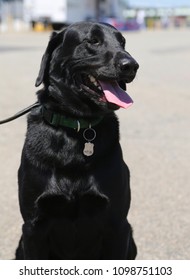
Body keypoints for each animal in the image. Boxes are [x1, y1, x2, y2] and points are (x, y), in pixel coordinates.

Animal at [15, 21, 139, 260]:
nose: (132, 65)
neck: (77, 127)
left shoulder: (117, 226)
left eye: (122, 42)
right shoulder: (33, 227)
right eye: (92, 41)